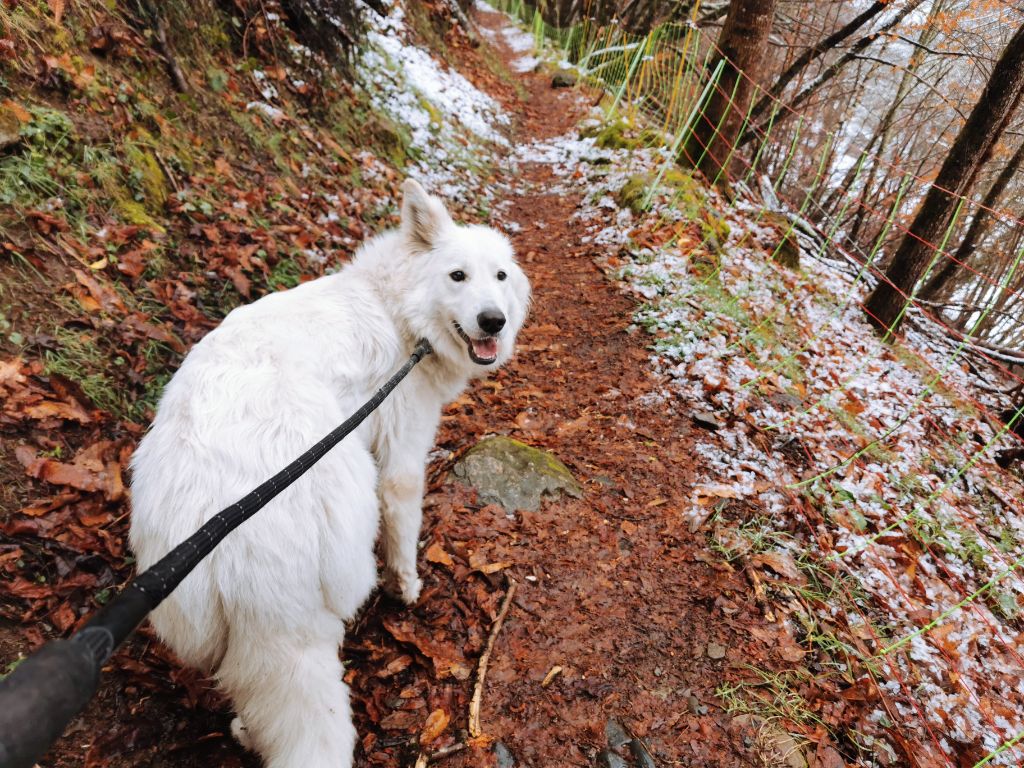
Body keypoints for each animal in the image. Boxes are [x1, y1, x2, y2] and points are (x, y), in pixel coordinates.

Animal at [130, 182, 528, 768]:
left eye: (500, 276)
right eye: (458, 276)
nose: (494, 321)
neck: (398, 310)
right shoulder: (402, 458)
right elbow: (404, 535)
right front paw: (408, 588)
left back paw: (245, 733)